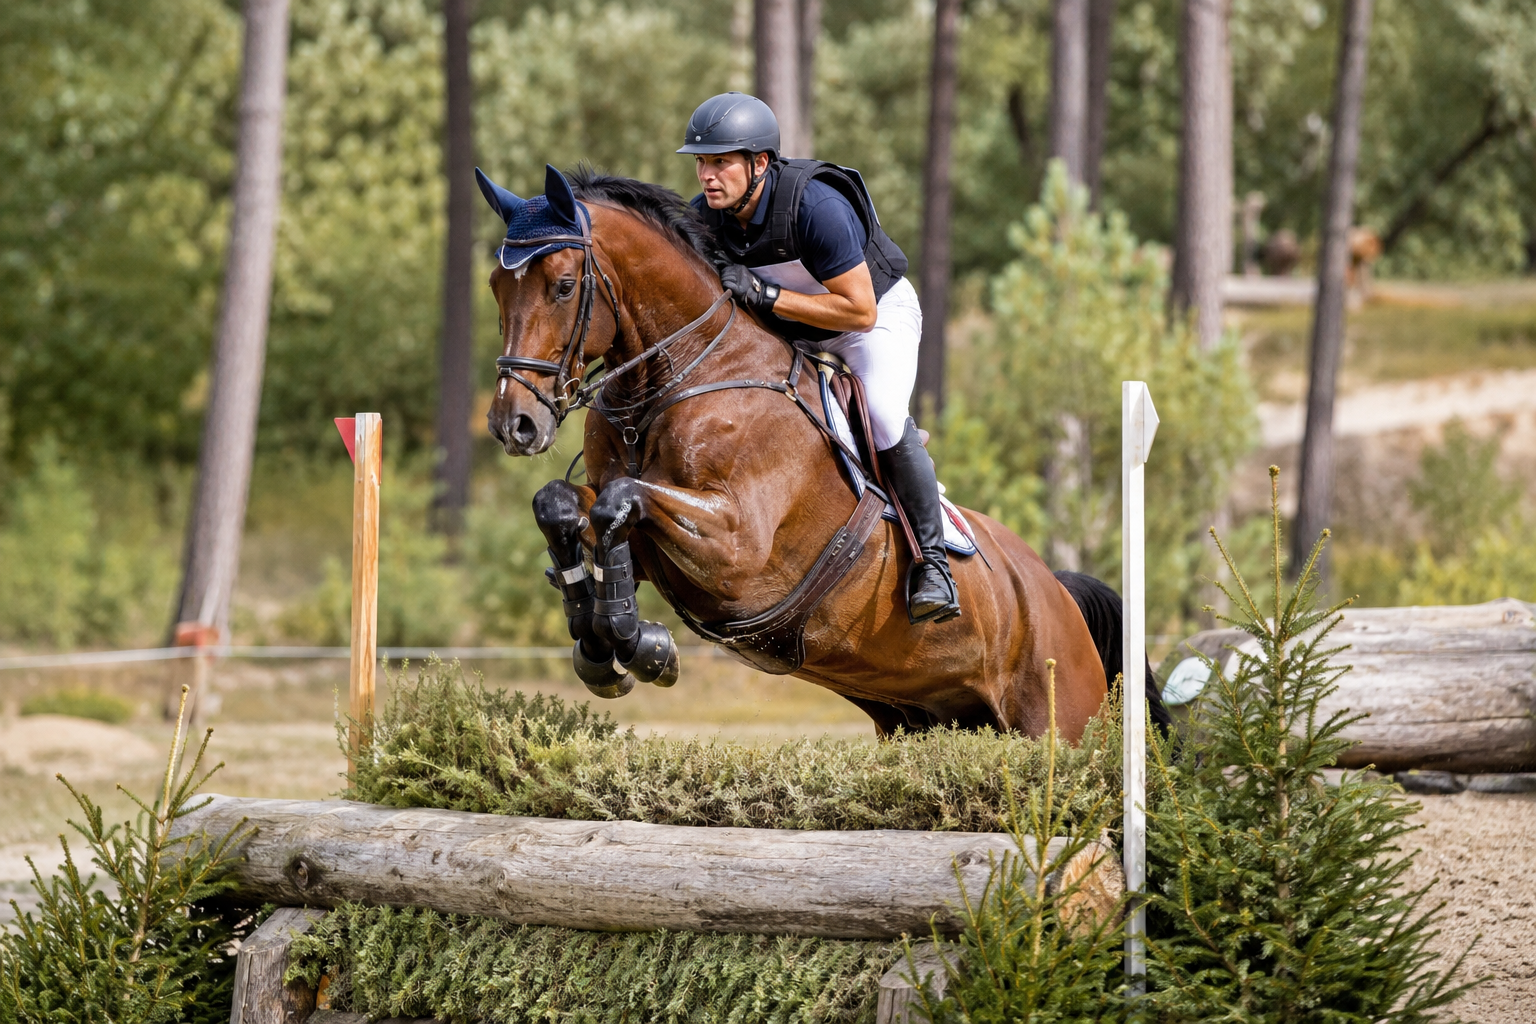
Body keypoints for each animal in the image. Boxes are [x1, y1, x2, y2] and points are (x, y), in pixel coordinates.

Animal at [480, 163, 1168, 742]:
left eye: (562, 286)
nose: (514, 424)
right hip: (924, 720)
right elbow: (563, 504)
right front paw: (600, 645)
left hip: (1059, 722)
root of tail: (1055, 589)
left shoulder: (737, 546)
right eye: (495, 288)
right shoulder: (653, 541)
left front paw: (640, 642)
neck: (680, 376)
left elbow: (619, 502)